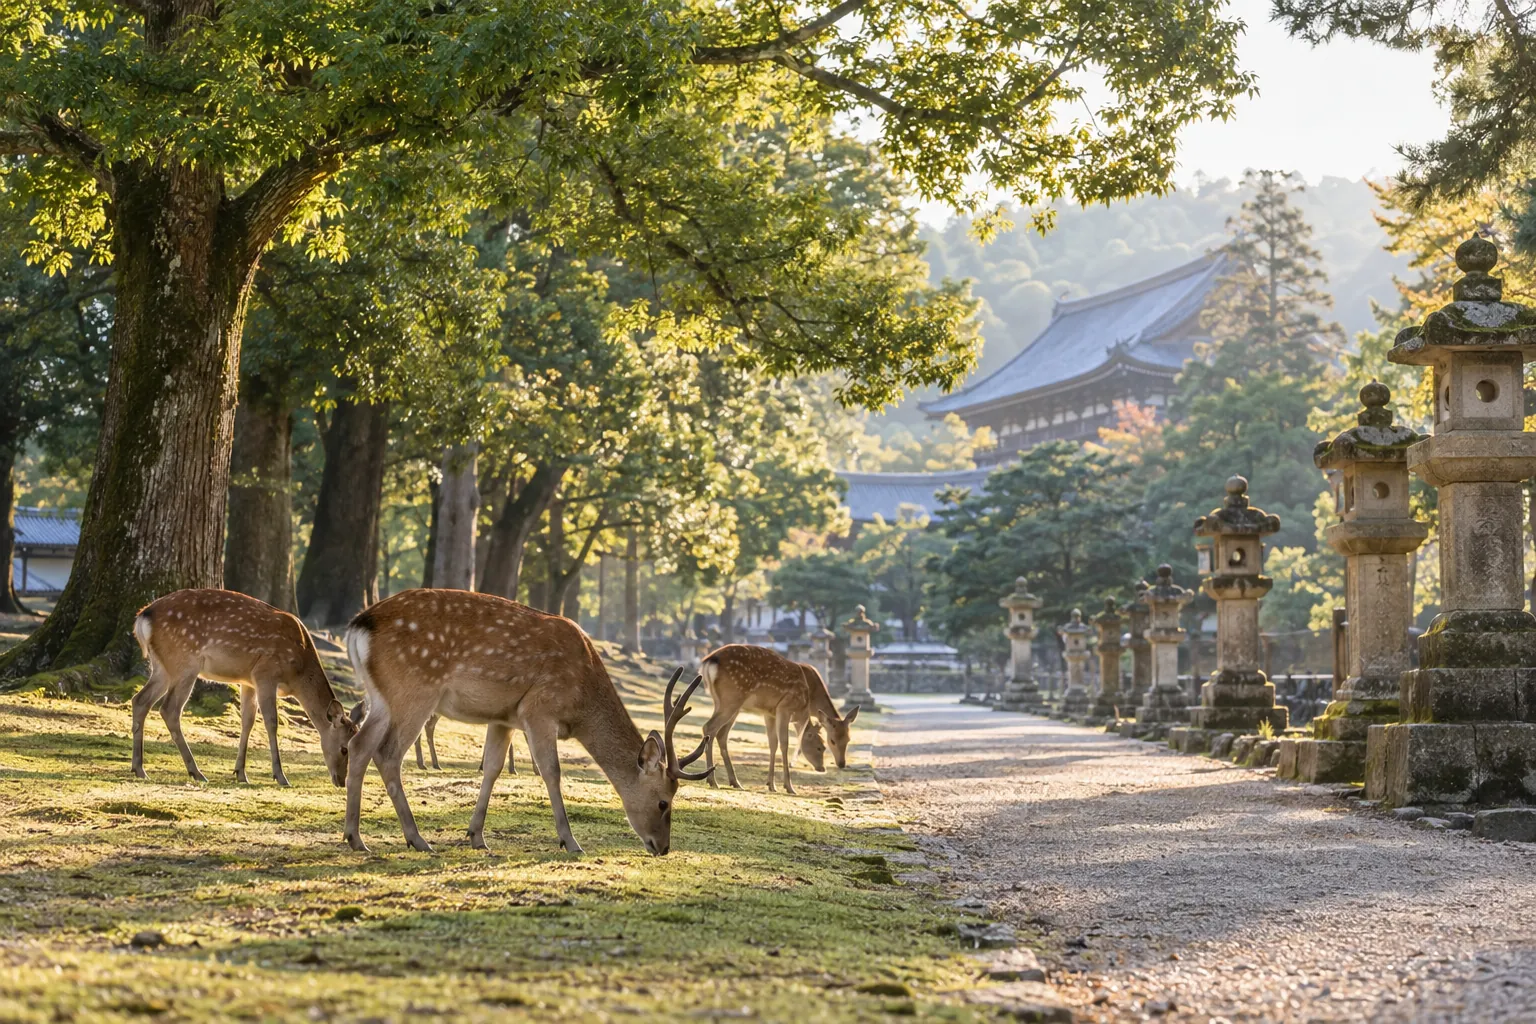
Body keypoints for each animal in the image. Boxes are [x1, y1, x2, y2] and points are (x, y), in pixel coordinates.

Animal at [131, 589, 356, 787]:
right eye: (344, 749)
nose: (341, 781)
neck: (299, 673)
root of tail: (143, 617)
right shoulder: (266, 672)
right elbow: (271, 722)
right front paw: (280, 776)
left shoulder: (248, 681)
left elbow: (247, 721)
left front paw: (240, 773)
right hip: (185, 662)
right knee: (169, 709)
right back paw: (196, 772)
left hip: (163, 666)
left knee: (140, 700)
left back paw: (139, 769)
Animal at [343, 588, 710, 855]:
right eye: (663, 801)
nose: (663, 848)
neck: (582, 702)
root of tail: (358, 626)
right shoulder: (539, 709)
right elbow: (551, 772)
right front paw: (570, 842)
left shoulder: (503, 717)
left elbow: (492, 768)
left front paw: (476, 836)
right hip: (415, 690)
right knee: (387, 753)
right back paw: (416, 839)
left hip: (381, 696)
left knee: (358, 745)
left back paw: (355, 838)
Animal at [697, 644, 859, 795]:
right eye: (825, 745)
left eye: (849, 739)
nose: (840, 764)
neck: (809, 702)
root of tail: (710, 661)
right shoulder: (784, 708)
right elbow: (785, 743)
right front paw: (789, 787)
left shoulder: (770, 713)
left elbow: (773, 744)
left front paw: (771, 785)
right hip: (732, 698)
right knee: (709, 727)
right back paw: (712, 780)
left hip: (723, 702)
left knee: (721, 733)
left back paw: (734, 782)